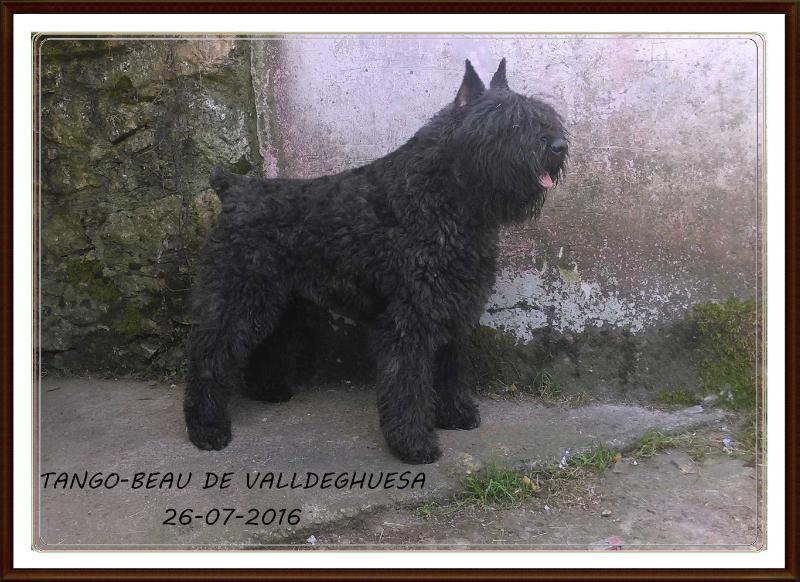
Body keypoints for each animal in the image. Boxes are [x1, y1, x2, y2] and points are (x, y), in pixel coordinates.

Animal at [184, 59, 564, 466]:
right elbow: (408, 380)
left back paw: (268, 390)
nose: (558, 146)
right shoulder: (410, 318)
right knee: (208, 355)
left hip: (280, 303)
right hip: (239, 297)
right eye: (508, 122)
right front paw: (413, 443)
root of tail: (233, 189)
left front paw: (456, 414)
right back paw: (206, 429)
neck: (445, 198)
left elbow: (450, 367)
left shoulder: (454, 309)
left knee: (267, 344)